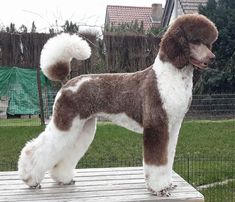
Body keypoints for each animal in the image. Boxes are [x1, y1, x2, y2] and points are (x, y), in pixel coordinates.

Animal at [18, 14, 218, 196]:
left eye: (207, 42)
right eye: (195, 41)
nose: (212, 57)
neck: (171, 76)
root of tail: (66, 84)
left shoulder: (172, 127)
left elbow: (167, 159)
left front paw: (167, 184)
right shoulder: (156, 126)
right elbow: (157, 162)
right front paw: (159, 188)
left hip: (83, 127)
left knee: (65, 153)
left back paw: (63, 178)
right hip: (66, 123)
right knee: (36, 150)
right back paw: (30, 179)